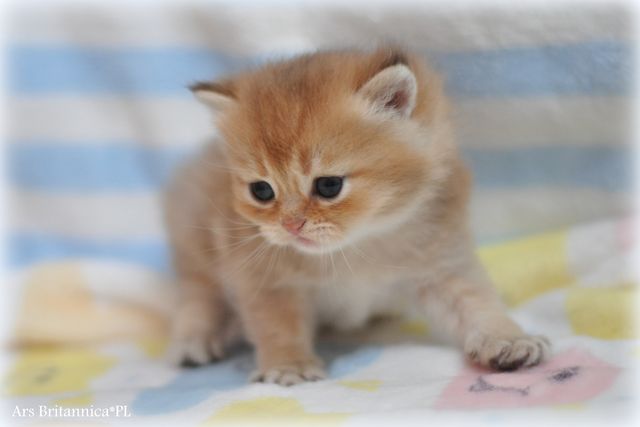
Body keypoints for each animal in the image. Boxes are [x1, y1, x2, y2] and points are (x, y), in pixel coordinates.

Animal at [163, 47, 550, 386]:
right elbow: (276, 325)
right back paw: (195, 341)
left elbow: (475, 302)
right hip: (194, 238)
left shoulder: (441, 262)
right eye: (261, 191)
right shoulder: (263, 277)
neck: (355, 247)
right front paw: (289, 365)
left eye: (329, 185)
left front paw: (505, 339)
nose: (290, 225)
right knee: (199, 293)